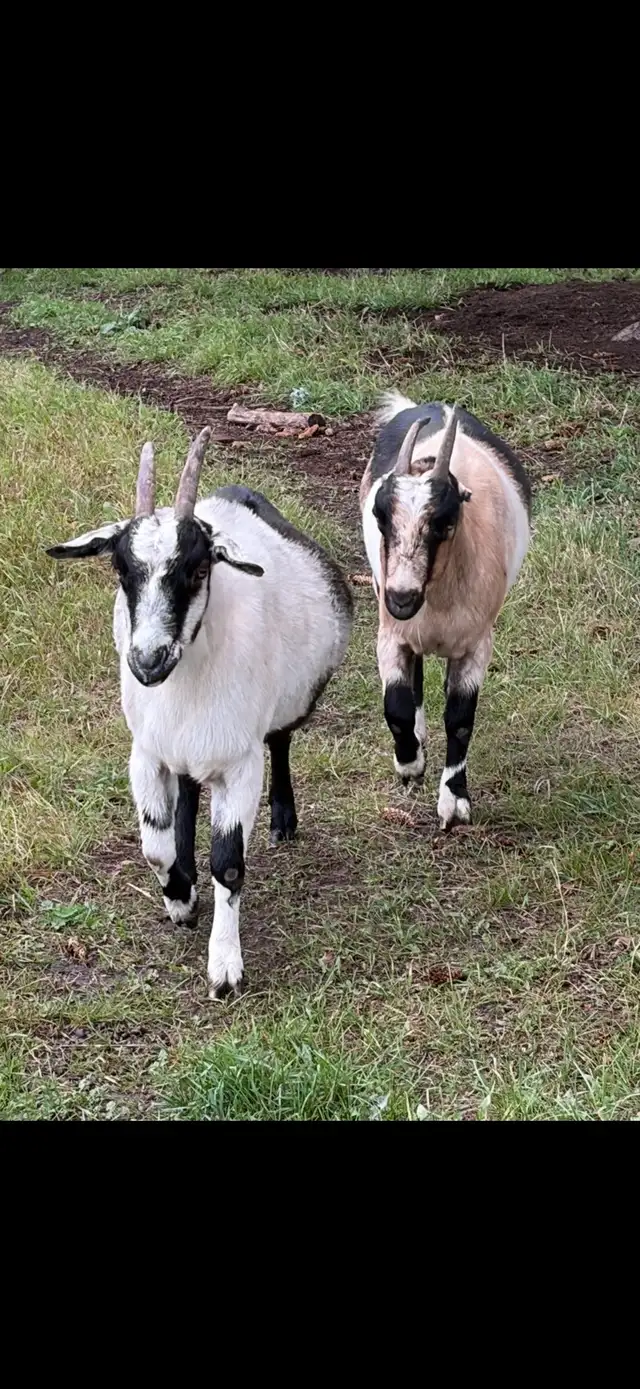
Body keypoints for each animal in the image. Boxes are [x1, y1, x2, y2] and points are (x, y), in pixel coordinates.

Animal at [47, 430, 353, 998]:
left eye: (199, 567)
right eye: (121, 569)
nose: (147, 661)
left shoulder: (240, 764)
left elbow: (229, 865)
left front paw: (225, 967)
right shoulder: (146, 753)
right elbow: (156, 846)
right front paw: (180, 899)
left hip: (288, 705)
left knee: (281, 742)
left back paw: (283, 820)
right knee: (187, 794)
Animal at [360, 391, 531, 829]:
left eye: (444, 521)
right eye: (380, 516)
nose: (401, 598)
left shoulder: (477, 644)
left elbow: (460, 719)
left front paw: (454, 801)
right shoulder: (392, 634)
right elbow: (397, 707)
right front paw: (410, 766)